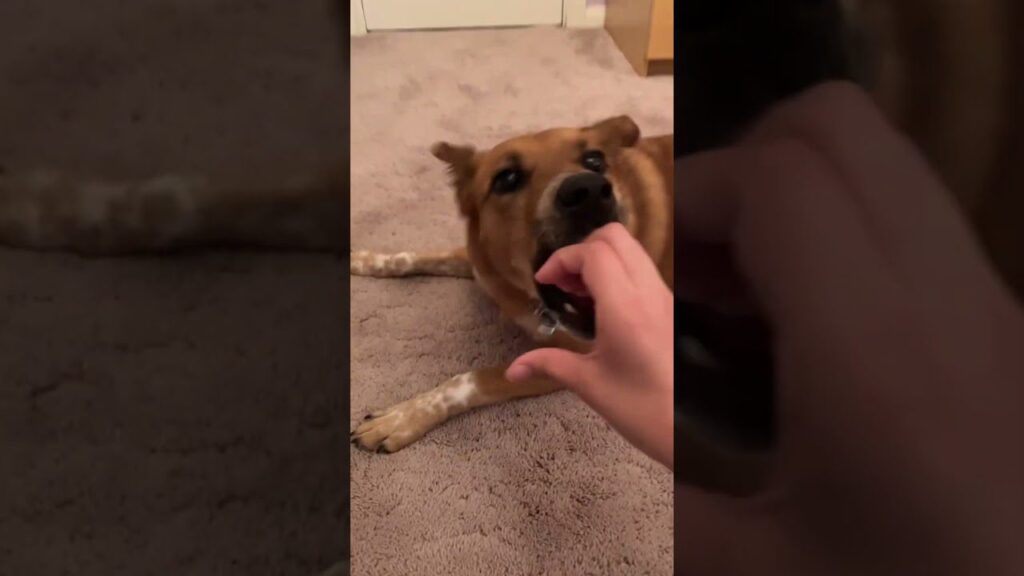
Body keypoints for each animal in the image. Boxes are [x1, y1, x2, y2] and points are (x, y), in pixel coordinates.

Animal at [352, 114, 671, 450]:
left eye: (595, 160)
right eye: (506, 178)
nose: (589, 189)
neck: (522, 294)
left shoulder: (573, 358)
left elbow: (470, 380)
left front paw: (404, 417)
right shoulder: (477, 263)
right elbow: (410, 258)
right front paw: (364, 260)